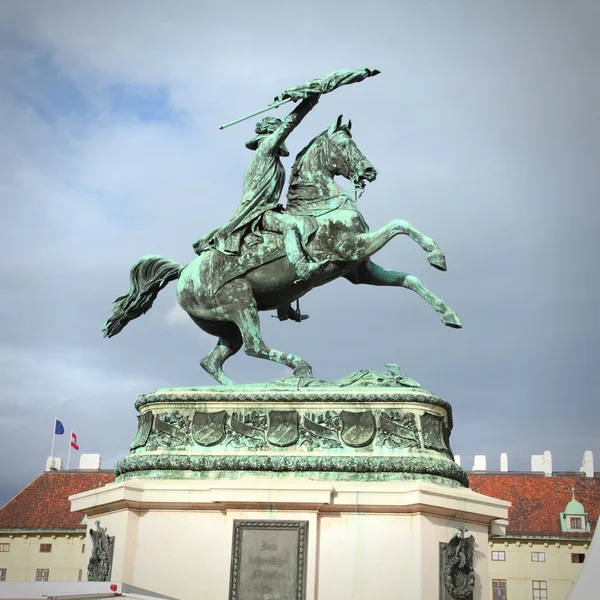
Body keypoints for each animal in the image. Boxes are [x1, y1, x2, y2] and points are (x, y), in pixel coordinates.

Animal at [103, 115, 462, 386]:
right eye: (344, 145)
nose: (370, 172)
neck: (320, 204)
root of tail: (183, 274)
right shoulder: (352, 248)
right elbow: (400, 224)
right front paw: (437, 254)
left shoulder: (359, 270)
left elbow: (409, 279)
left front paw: (449, 314)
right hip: (241, 303)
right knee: (254, 346)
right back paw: (298, 369)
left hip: (226, 326)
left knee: (213, 361)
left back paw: (239, 391)